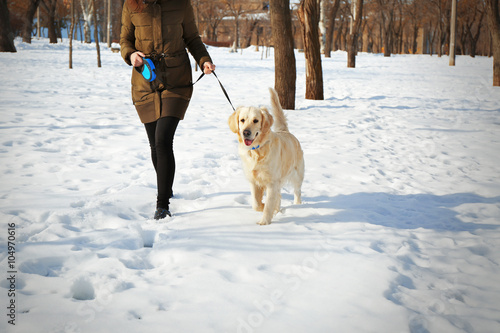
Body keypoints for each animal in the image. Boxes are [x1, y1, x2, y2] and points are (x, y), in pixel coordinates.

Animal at [228, 87, 304, 224]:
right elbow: (256, 203)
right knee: (279, 195)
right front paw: (263, 207)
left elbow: (269, 204)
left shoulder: (272, 182)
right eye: (242, 120)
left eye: (256, 120)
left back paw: (297, 205)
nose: (246, 132)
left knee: (297, 191)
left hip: (297, 174)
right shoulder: (253, 180)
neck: (256, 150)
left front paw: (264, 222)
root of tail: (285, 131)